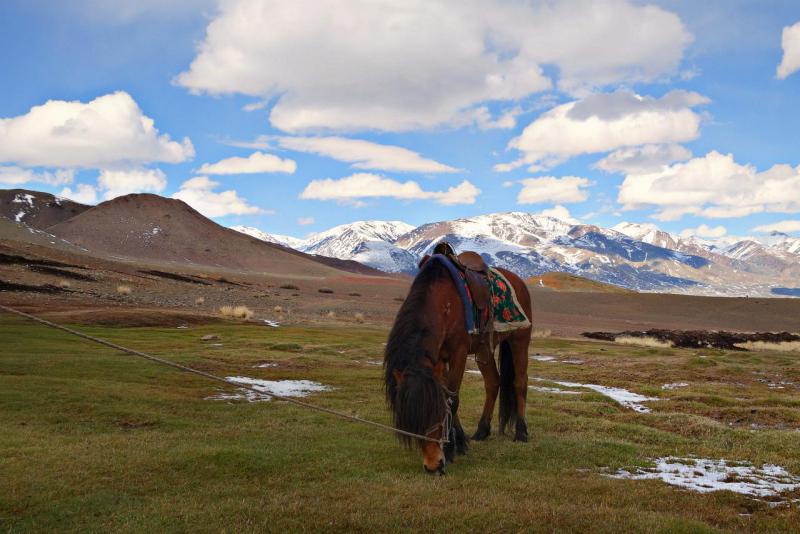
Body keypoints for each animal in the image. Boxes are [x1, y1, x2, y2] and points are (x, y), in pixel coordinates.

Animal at [382, 256, 532, 478]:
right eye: (413, 423)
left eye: (434, 415)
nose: (433, 466)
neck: (442, 301)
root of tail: (519, 281)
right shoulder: (438, 359)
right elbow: (447, 397)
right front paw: (460, 443)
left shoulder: (458, 353)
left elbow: (452, 401)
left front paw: (450, 449)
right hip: (484, 350)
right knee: (493, 383)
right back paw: (481, 431)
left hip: (519, 340)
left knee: (520, 382)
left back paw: (521, 432)